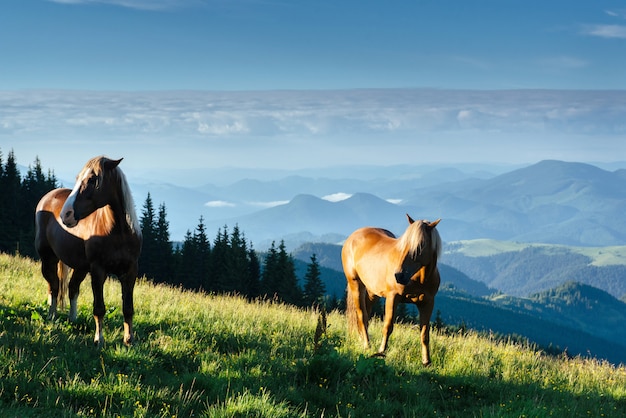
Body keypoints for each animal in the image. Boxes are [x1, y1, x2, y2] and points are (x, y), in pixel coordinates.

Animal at [35, 157, 141, 346]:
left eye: (92, 179)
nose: (66, 215)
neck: (118, 233)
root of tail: (48, 197)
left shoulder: (130, 271)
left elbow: (128, 308)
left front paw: (129, 340)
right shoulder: (98, 271)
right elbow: (99, 308)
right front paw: (99, 340)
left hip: (80, 268)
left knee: (72, 288)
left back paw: (73, 319)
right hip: (48, 259)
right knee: (54, 287)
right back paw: (52, 316)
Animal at [342, 216, 438, 366]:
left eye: (421, 245)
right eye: (404, 244)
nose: (399, 275)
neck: (418, 278)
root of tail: (352, 237)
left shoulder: (427, 303)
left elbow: (424, 333)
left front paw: (426, 361)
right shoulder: (393, 297)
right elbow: (388, 326)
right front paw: (381, 352)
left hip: (372, 291)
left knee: (366, 314)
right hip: (355, 284)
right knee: (362, 315)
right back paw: (367, 345)